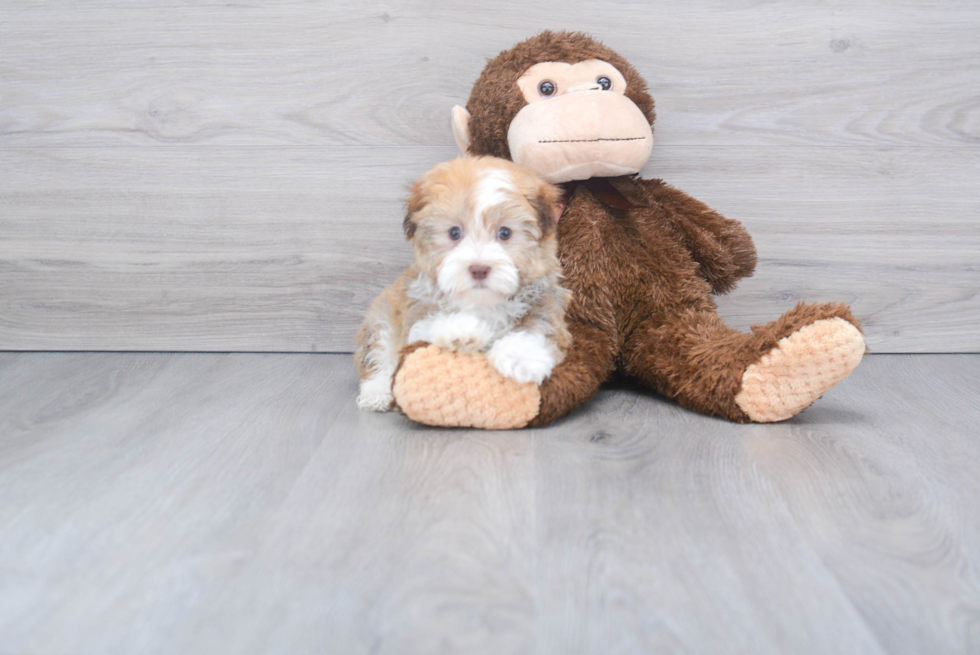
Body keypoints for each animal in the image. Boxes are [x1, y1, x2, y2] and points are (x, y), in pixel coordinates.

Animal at [354, 155, 572, 410]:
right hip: (381, 316)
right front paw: (459, 330)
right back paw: (376, 391)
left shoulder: (546, 300)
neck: (481, 301)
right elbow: (426, 324)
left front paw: (520, 354)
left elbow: (540, 325)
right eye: (454, 233)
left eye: (505, 233)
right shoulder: (414, 308)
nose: (479, 269)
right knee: (380, 353)